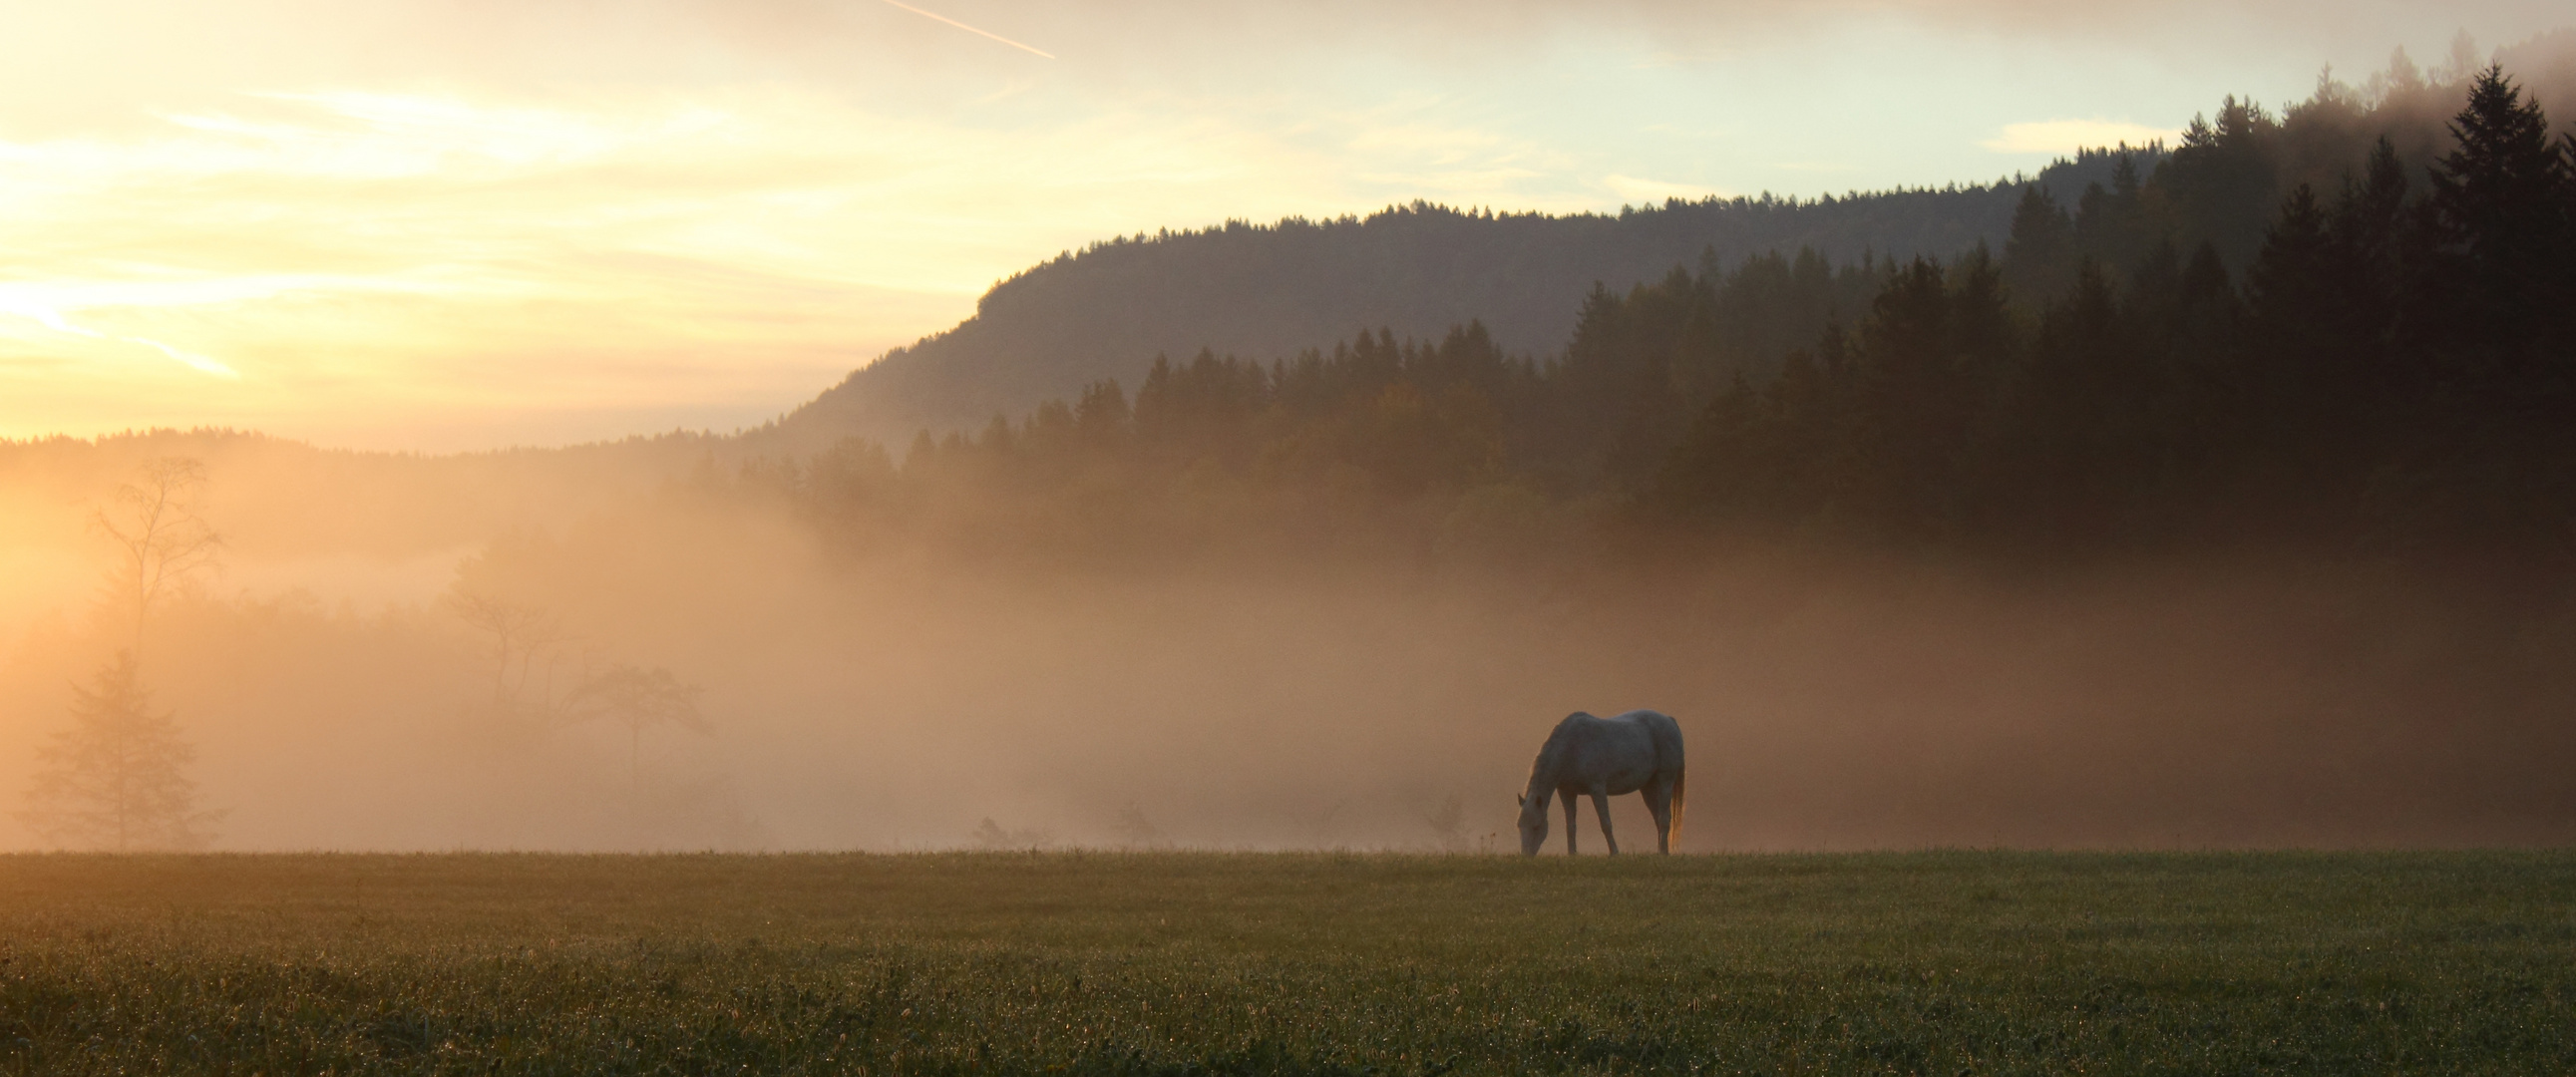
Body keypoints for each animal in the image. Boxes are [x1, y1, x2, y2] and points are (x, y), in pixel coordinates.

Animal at [1514, 711, 1679, 855]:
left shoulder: (1597, 789)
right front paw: (1572, 854)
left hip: (1665, 780)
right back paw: (1661, 850)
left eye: (1536, 826)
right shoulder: (1566, 792)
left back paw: (1662, 852)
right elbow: (1570, 826)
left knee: (1664, 817)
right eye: (1519, 826)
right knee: (1657, 816)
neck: (1572, 747)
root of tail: (1669, 720)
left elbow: (1605, 823)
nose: (1525, 855)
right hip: (1647, 787)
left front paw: (1614, 853)